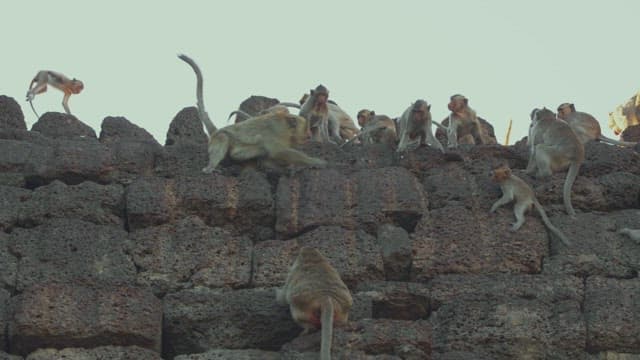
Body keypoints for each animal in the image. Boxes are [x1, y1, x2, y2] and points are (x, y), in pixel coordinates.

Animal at [178, 54, 324, 174]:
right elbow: (279, 152)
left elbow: (269, 159)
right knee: (224, 138)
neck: (287, 128)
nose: (309, 134)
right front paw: (314, 162)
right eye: (305, 128)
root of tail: (216, 131)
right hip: (217, 139)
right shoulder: (276, 132)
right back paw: (210, 169)